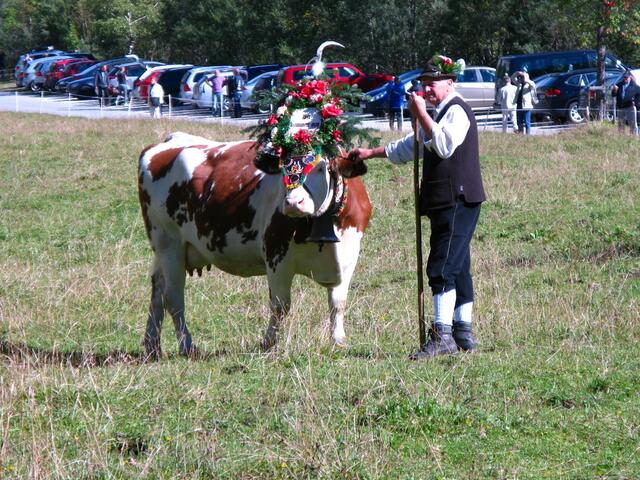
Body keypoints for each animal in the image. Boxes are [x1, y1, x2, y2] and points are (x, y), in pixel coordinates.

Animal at [138, 131, 371, 358]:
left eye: (323, 168)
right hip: (169, 244)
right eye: (283, 168)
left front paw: (339, 341)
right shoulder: (276, 255)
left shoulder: (349, 257)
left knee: (157, 288)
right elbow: (280, 305)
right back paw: (186, 346)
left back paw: (152, 345)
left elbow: (337, 303)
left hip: (165, 250)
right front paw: (268, 343)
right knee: (173, 298)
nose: (293, 203)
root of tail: (168, 142)